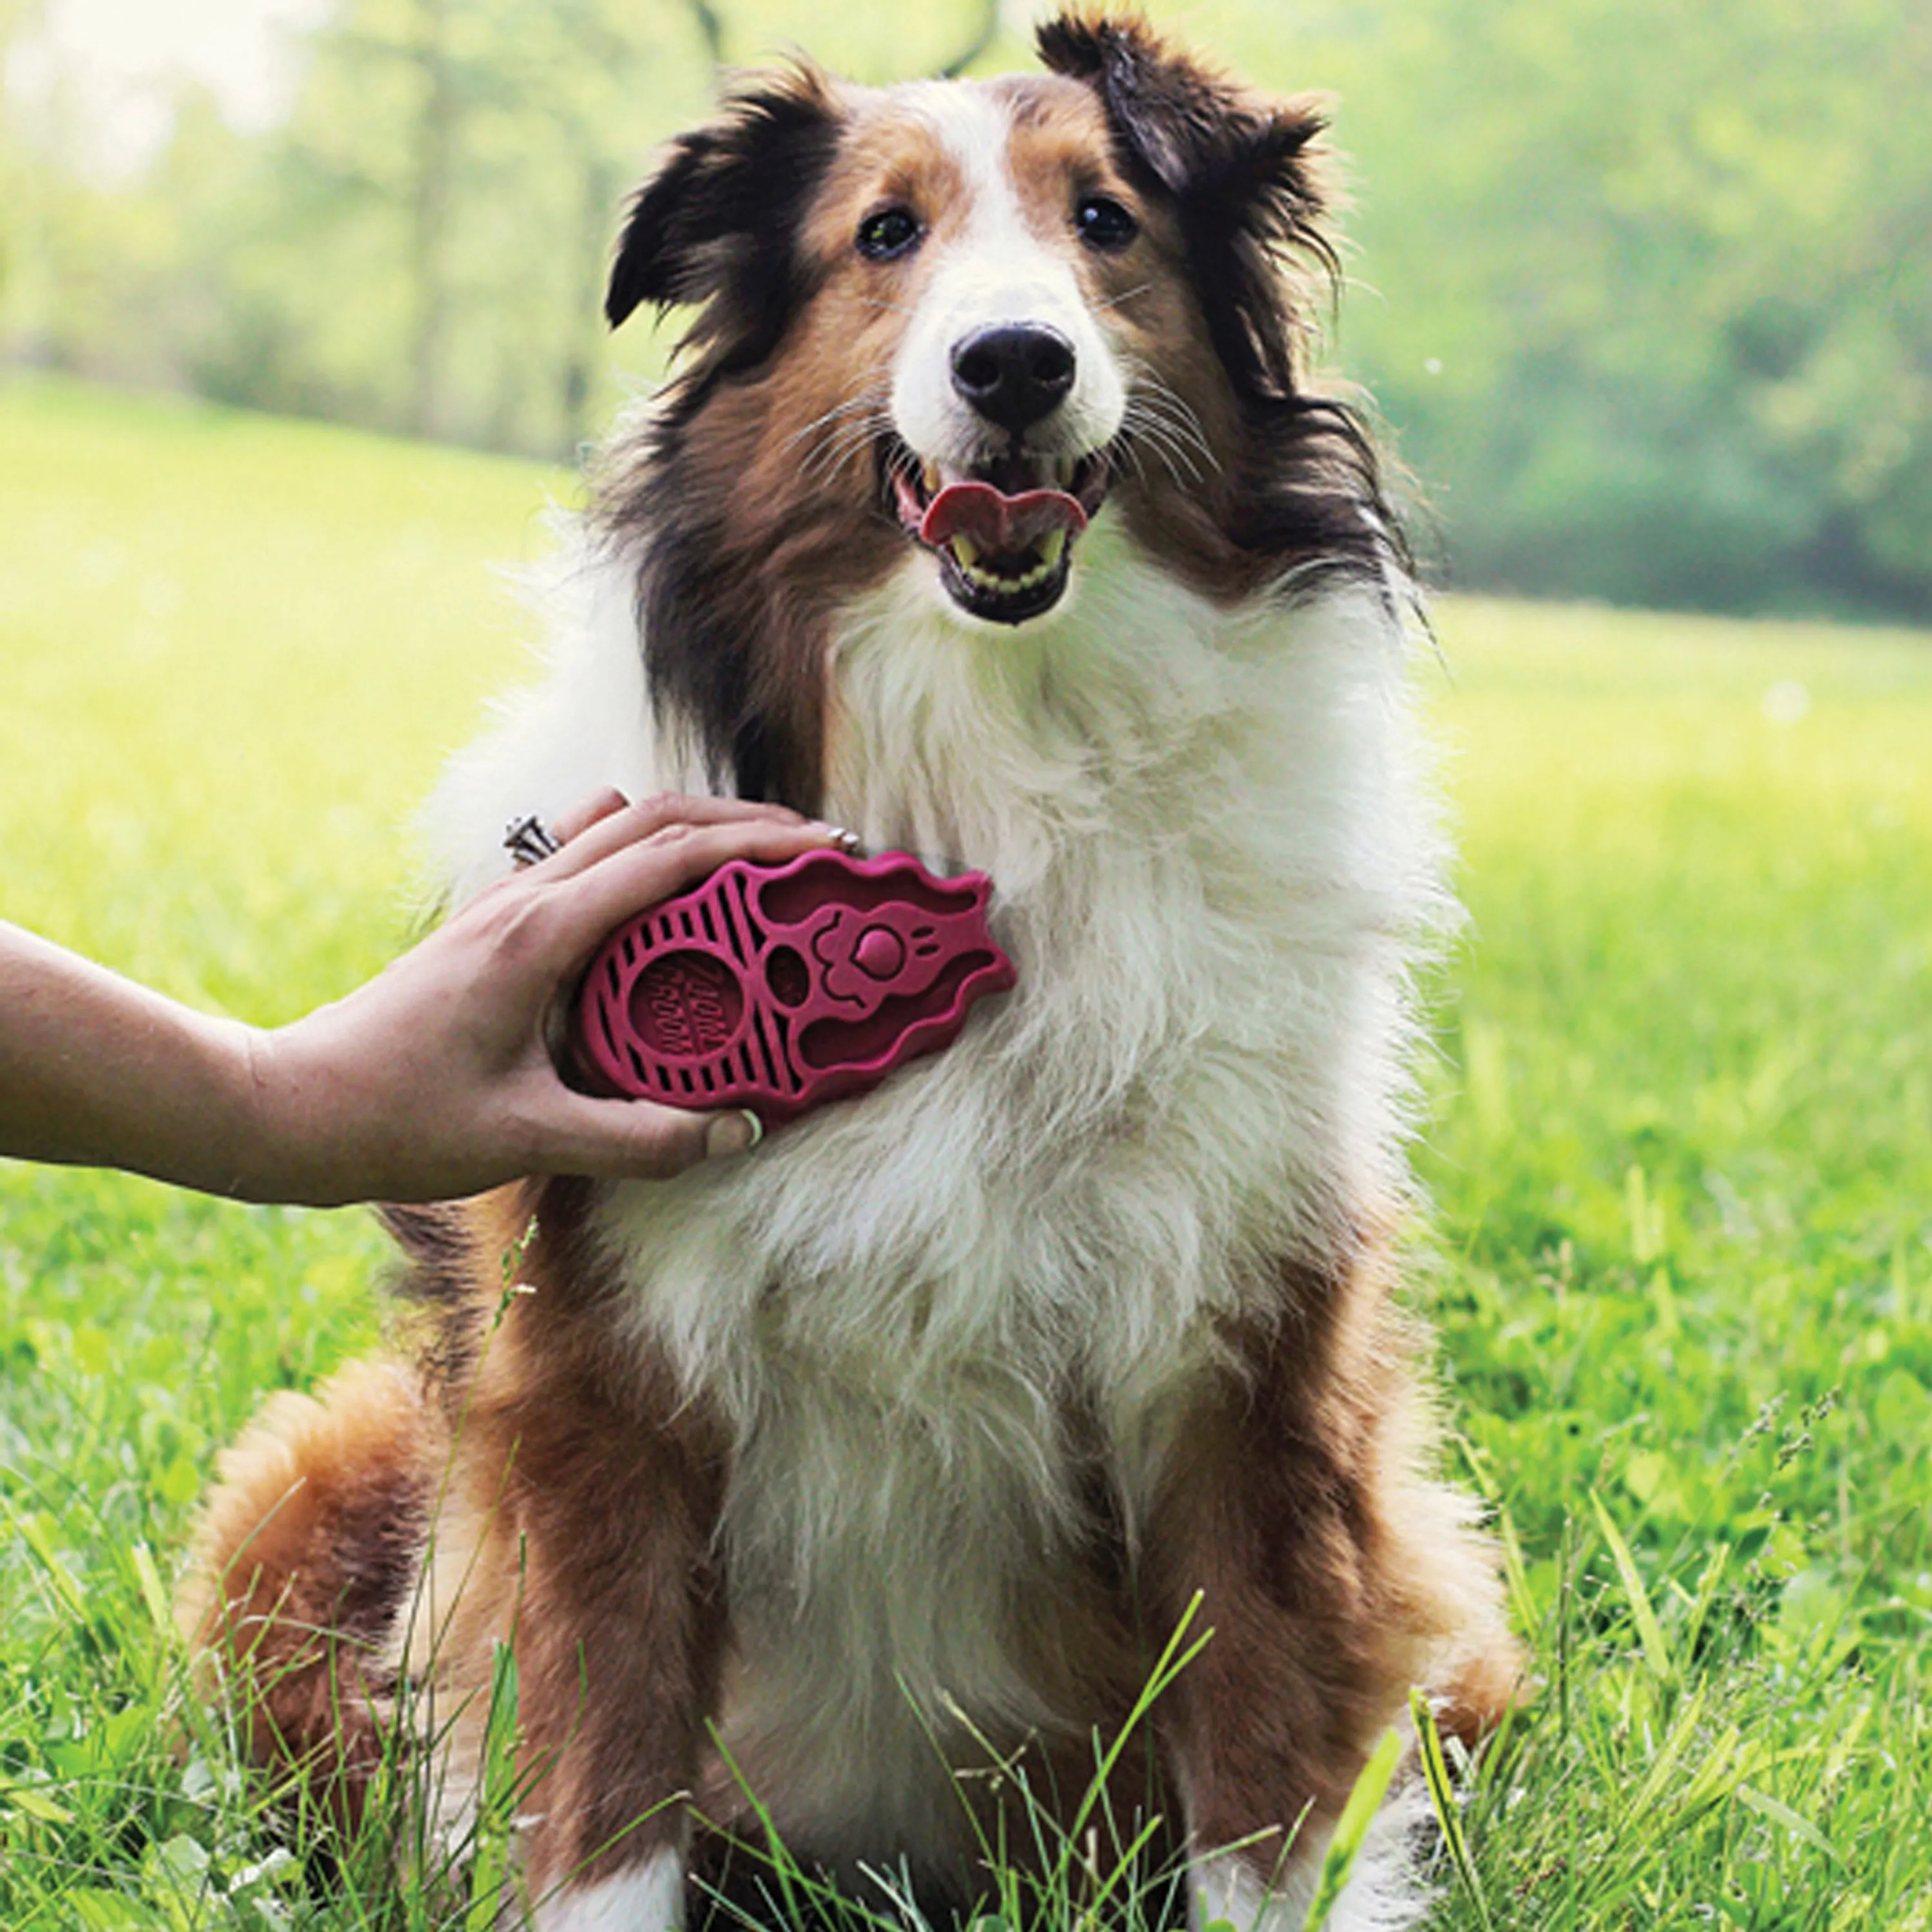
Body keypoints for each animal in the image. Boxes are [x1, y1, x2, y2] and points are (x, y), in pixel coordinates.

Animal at [188, 15, 1530, 1932]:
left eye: (1105, 220)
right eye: (883, 237)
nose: (1016, 363)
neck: (996, 768)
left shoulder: (1250, 1369)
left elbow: (1267, 1795)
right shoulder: (600, 1385)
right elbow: (601, 1806)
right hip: (300, 1498)